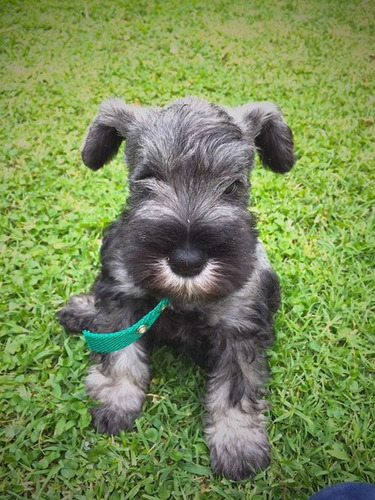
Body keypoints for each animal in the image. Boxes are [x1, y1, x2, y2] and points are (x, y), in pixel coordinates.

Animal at [58, 95, 296, 478]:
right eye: (147, 178)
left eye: (232, 185)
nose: (186, 260)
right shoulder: (122, 296)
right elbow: (119, 354)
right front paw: (116, 399)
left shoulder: (239, 327)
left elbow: (236, 388)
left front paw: (238, 442)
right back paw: (81, 311)